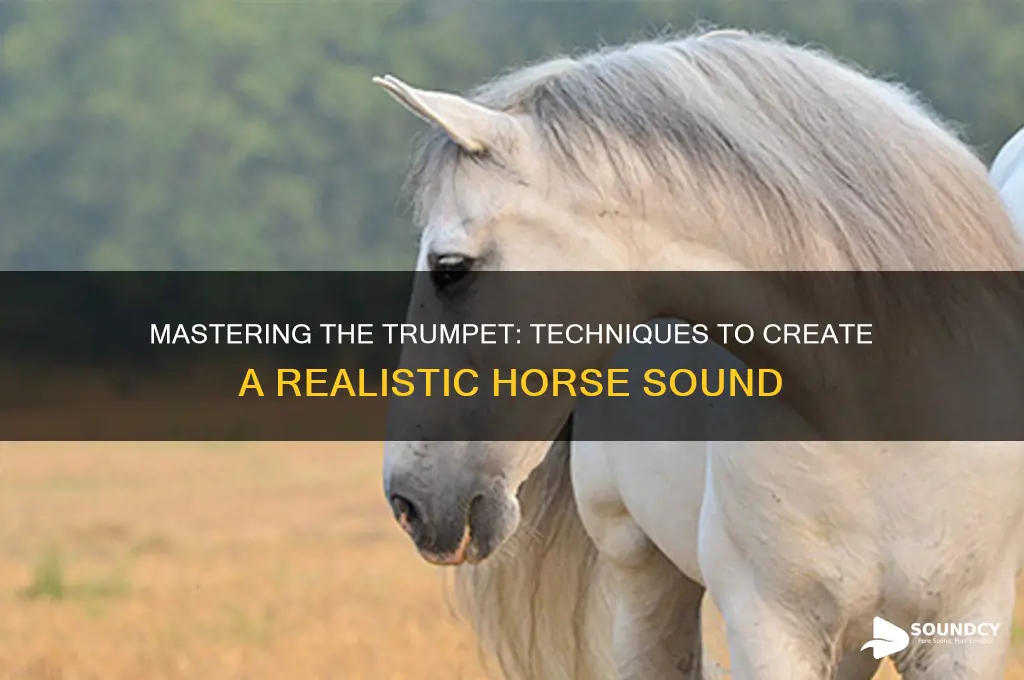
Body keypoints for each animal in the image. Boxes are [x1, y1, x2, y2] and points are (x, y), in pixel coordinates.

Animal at [374, 29, 1024, 680]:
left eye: (450, 268)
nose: (408, 502)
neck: (884, 428)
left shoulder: (966, 630)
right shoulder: (771, 628)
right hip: (639, 570)